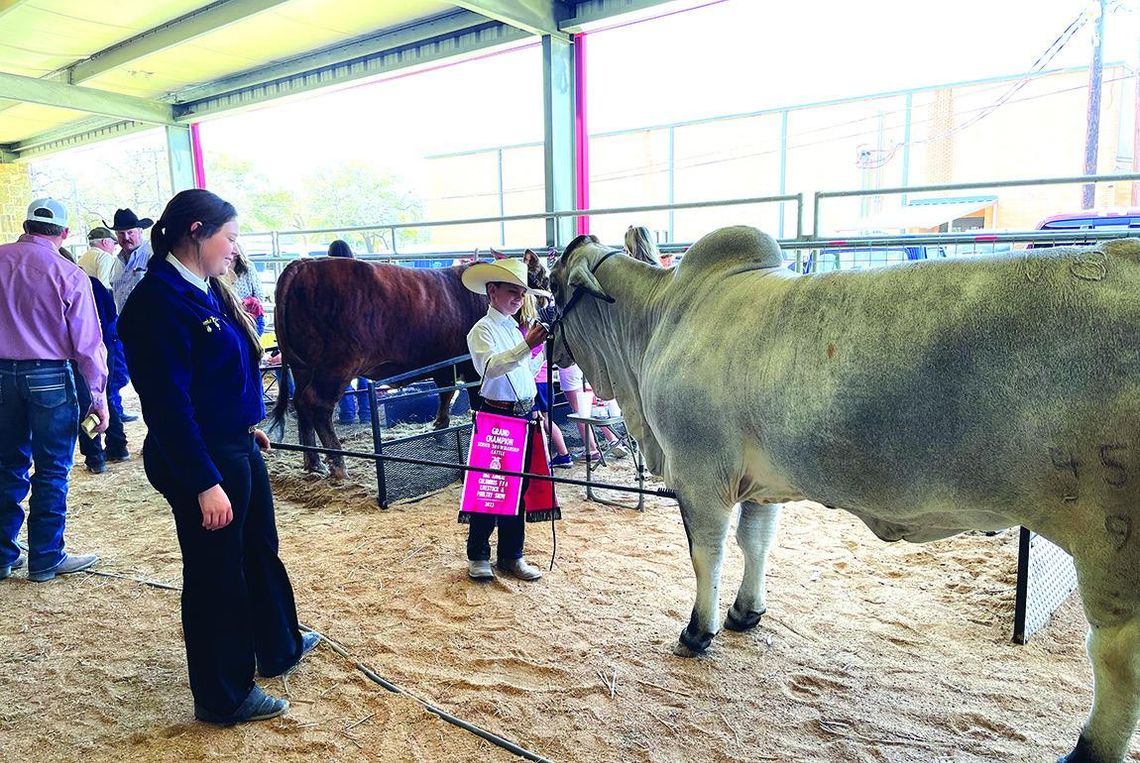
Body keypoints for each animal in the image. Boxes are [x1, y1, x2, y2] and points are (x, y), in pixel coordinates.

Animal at [547, 228, 1140, 761]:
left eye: (551, 284)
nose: (544, 339)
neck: (657, 321)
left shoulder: (699, 474)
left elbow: (706, 554)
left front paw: (698, 632)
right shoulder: (762, 485)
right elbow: (755, 543)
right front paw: (745, 612)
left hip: (1111, 544)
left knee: (1116, 656)